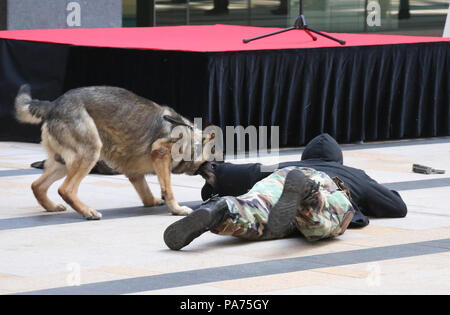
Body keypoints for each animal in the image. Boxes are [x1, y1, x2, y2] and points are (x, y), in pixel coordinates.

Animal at [14, 86, 215, 220]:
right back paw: (87, 211)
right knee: (66, 189)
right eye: (212, 161)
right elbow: (168, 189)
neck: (190, 138)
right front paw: (176, 209)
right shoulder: (161, 153)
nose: (214, 169)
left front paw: (154, 201)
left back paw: (52, 206)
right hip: (90, 152)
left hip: (62, 162)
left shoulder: (135, 174)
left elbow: (146, 193)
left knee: (37, 185)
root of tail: (54, 104)